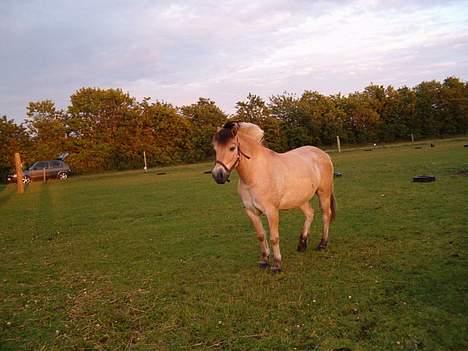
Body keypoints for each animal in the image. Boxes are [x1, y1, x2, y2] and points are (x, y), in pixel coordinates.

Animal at [212, 122, 336, 274]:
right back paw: (302, 244)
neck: (255, 174)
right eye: (215, 149)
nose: (218, 175)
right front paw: (264, 261)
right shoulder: (251, 212)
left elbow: (274, 238)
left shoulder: (271, 212)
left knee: (325, 215)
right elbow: (260, 236)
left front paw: (277, 265)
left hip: (324, 193)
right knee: (310, 214)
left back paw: (322, 244)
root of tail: (323, 154)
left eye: (232, 148)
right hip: (300, 199)